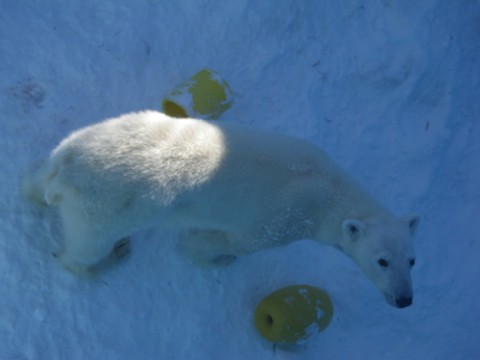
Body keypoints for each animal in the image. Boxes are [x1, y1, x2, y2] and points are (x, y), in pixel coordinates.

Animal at [22, 110, 418, 310]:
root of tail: (68, 168)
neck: (326, 189)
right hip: (106, 204)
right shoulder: (281, 222)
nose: (404, 299)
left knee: (40, 179)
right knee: (87, 245)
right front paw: (211, 255)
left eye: (413, 260)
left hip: (83, 141)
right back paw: (107, 259)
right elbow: (227, 242)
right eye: (382, 261)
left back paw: (34, 190)